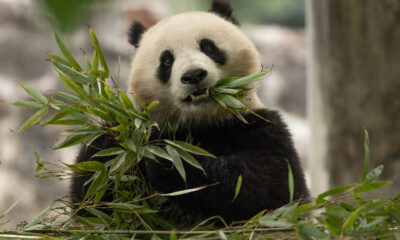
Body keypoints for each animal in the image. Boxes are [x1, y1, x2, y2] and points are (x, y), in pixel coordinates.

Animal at [71, 0, 310, 224]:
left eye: (208, 47)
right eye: (167, 60)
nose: (194, 75)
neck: (203, 123)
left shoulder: (258, 125)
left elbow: (273, 186)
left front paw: (169, 162)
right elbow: (93, 202)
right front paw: (114, 141)